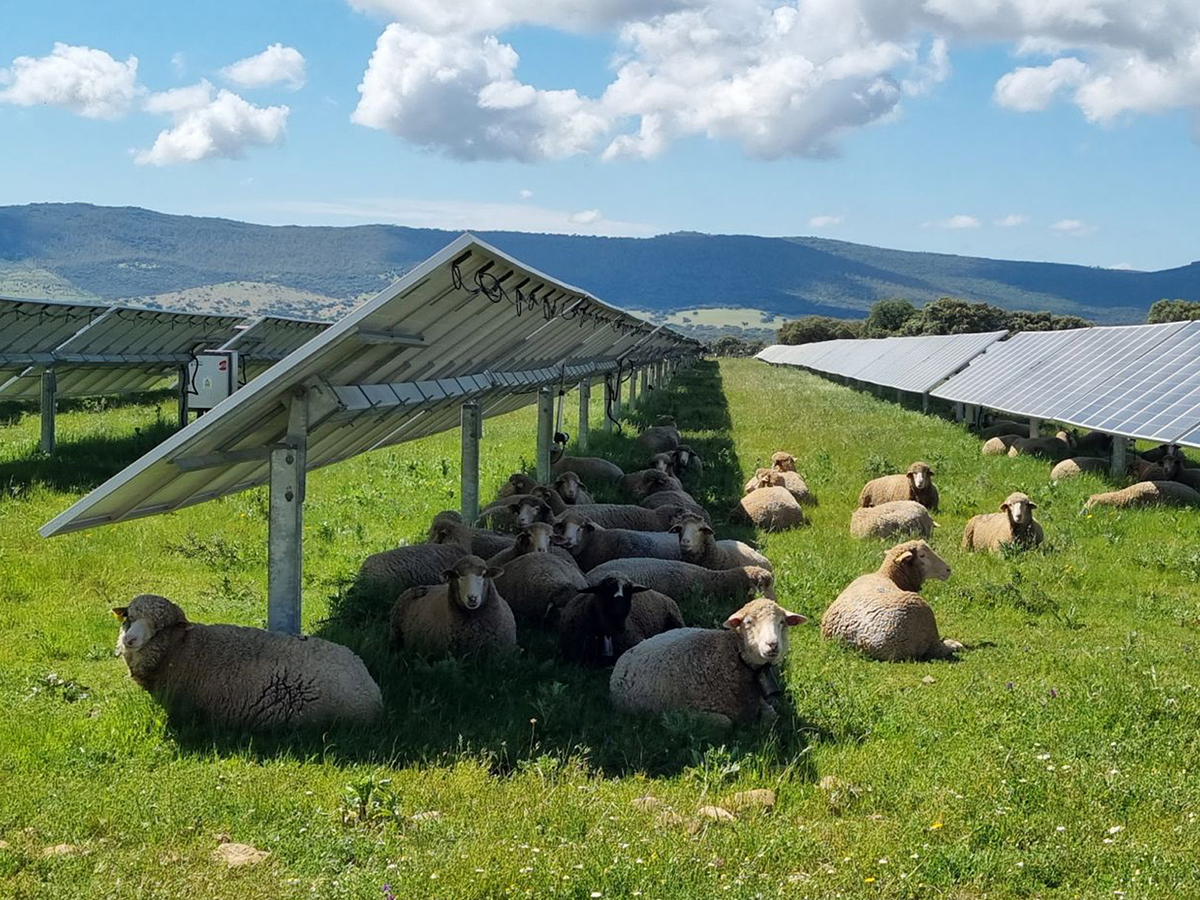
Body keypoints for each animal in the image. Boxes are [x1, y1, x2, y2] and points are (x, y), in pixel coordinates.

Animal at [609, 595, 806, 729]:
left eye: (782, 622)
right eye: (749, 622)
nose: (772, 644)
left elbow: (772, 716)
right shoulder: (693, 712)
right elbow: (726, 723)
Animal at [820, 542, 960, 662]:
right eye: (922, 555)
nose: (948, 570)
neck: (887, 575)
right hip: (927, 621)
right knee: (939, 648)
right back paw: (955, 644)